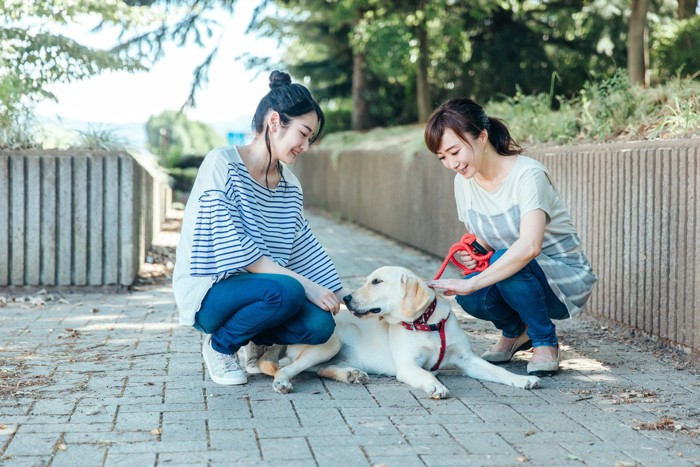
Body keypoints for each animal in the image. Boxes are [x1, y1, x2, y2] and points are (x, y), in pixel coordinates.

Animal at [258, 266, 540, 398]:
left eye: (376, 281)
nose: (346, 298)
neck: (427, 323)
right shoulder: (407, 366)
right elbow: (427, 375)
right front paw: (435, 385)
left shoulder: (468, 360)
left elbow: (498, 371)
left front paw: (521, 380)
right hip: (330, 343)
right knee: (287, 368)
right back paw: (283, 381)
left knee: (320, 369)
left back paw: (351, 375)